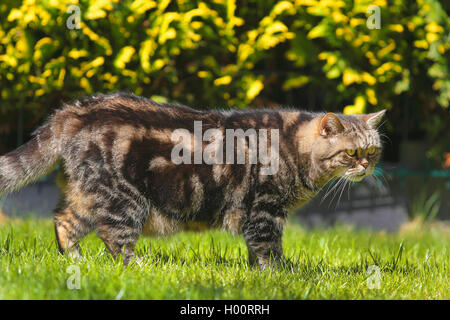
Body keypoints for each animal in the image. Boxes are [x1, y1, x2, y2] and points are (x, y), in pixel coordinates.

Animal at [0, 92, 386, 268]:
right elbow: (269, 249)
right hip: (124, 199)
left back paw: (76, 262)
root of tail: (72, 112)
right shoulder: (265, 210)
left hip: (87, 195)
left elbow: (256, 251)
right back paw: (136, 267)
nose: (366, 166)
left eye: (373, 151)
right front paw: (279, 275)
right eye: (352, 153)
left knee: (64, 222)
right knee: (114, 237)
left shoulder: (259, 215)